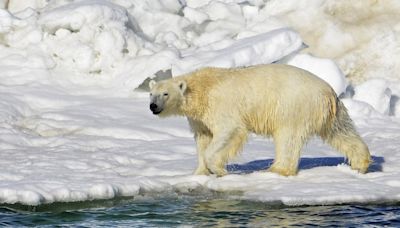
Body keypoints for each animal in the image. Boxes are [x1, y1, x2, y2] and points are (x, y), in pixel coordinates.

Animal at [148, 64, 370, 176]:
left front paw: (218, 169)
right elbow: (203, 138)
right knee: (341, 131)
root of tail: (328, 92)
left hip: (293, 106)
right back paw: (361, 163)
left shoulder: (221, 105)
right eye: (151, 93)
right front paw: (200, 172)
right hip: (330, 112)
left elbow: (229, 131)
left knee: (287, 138)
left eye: (165, 94)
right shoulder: (199, 117)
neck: (202, 88)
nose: (153, 106)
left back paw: (276, 169)